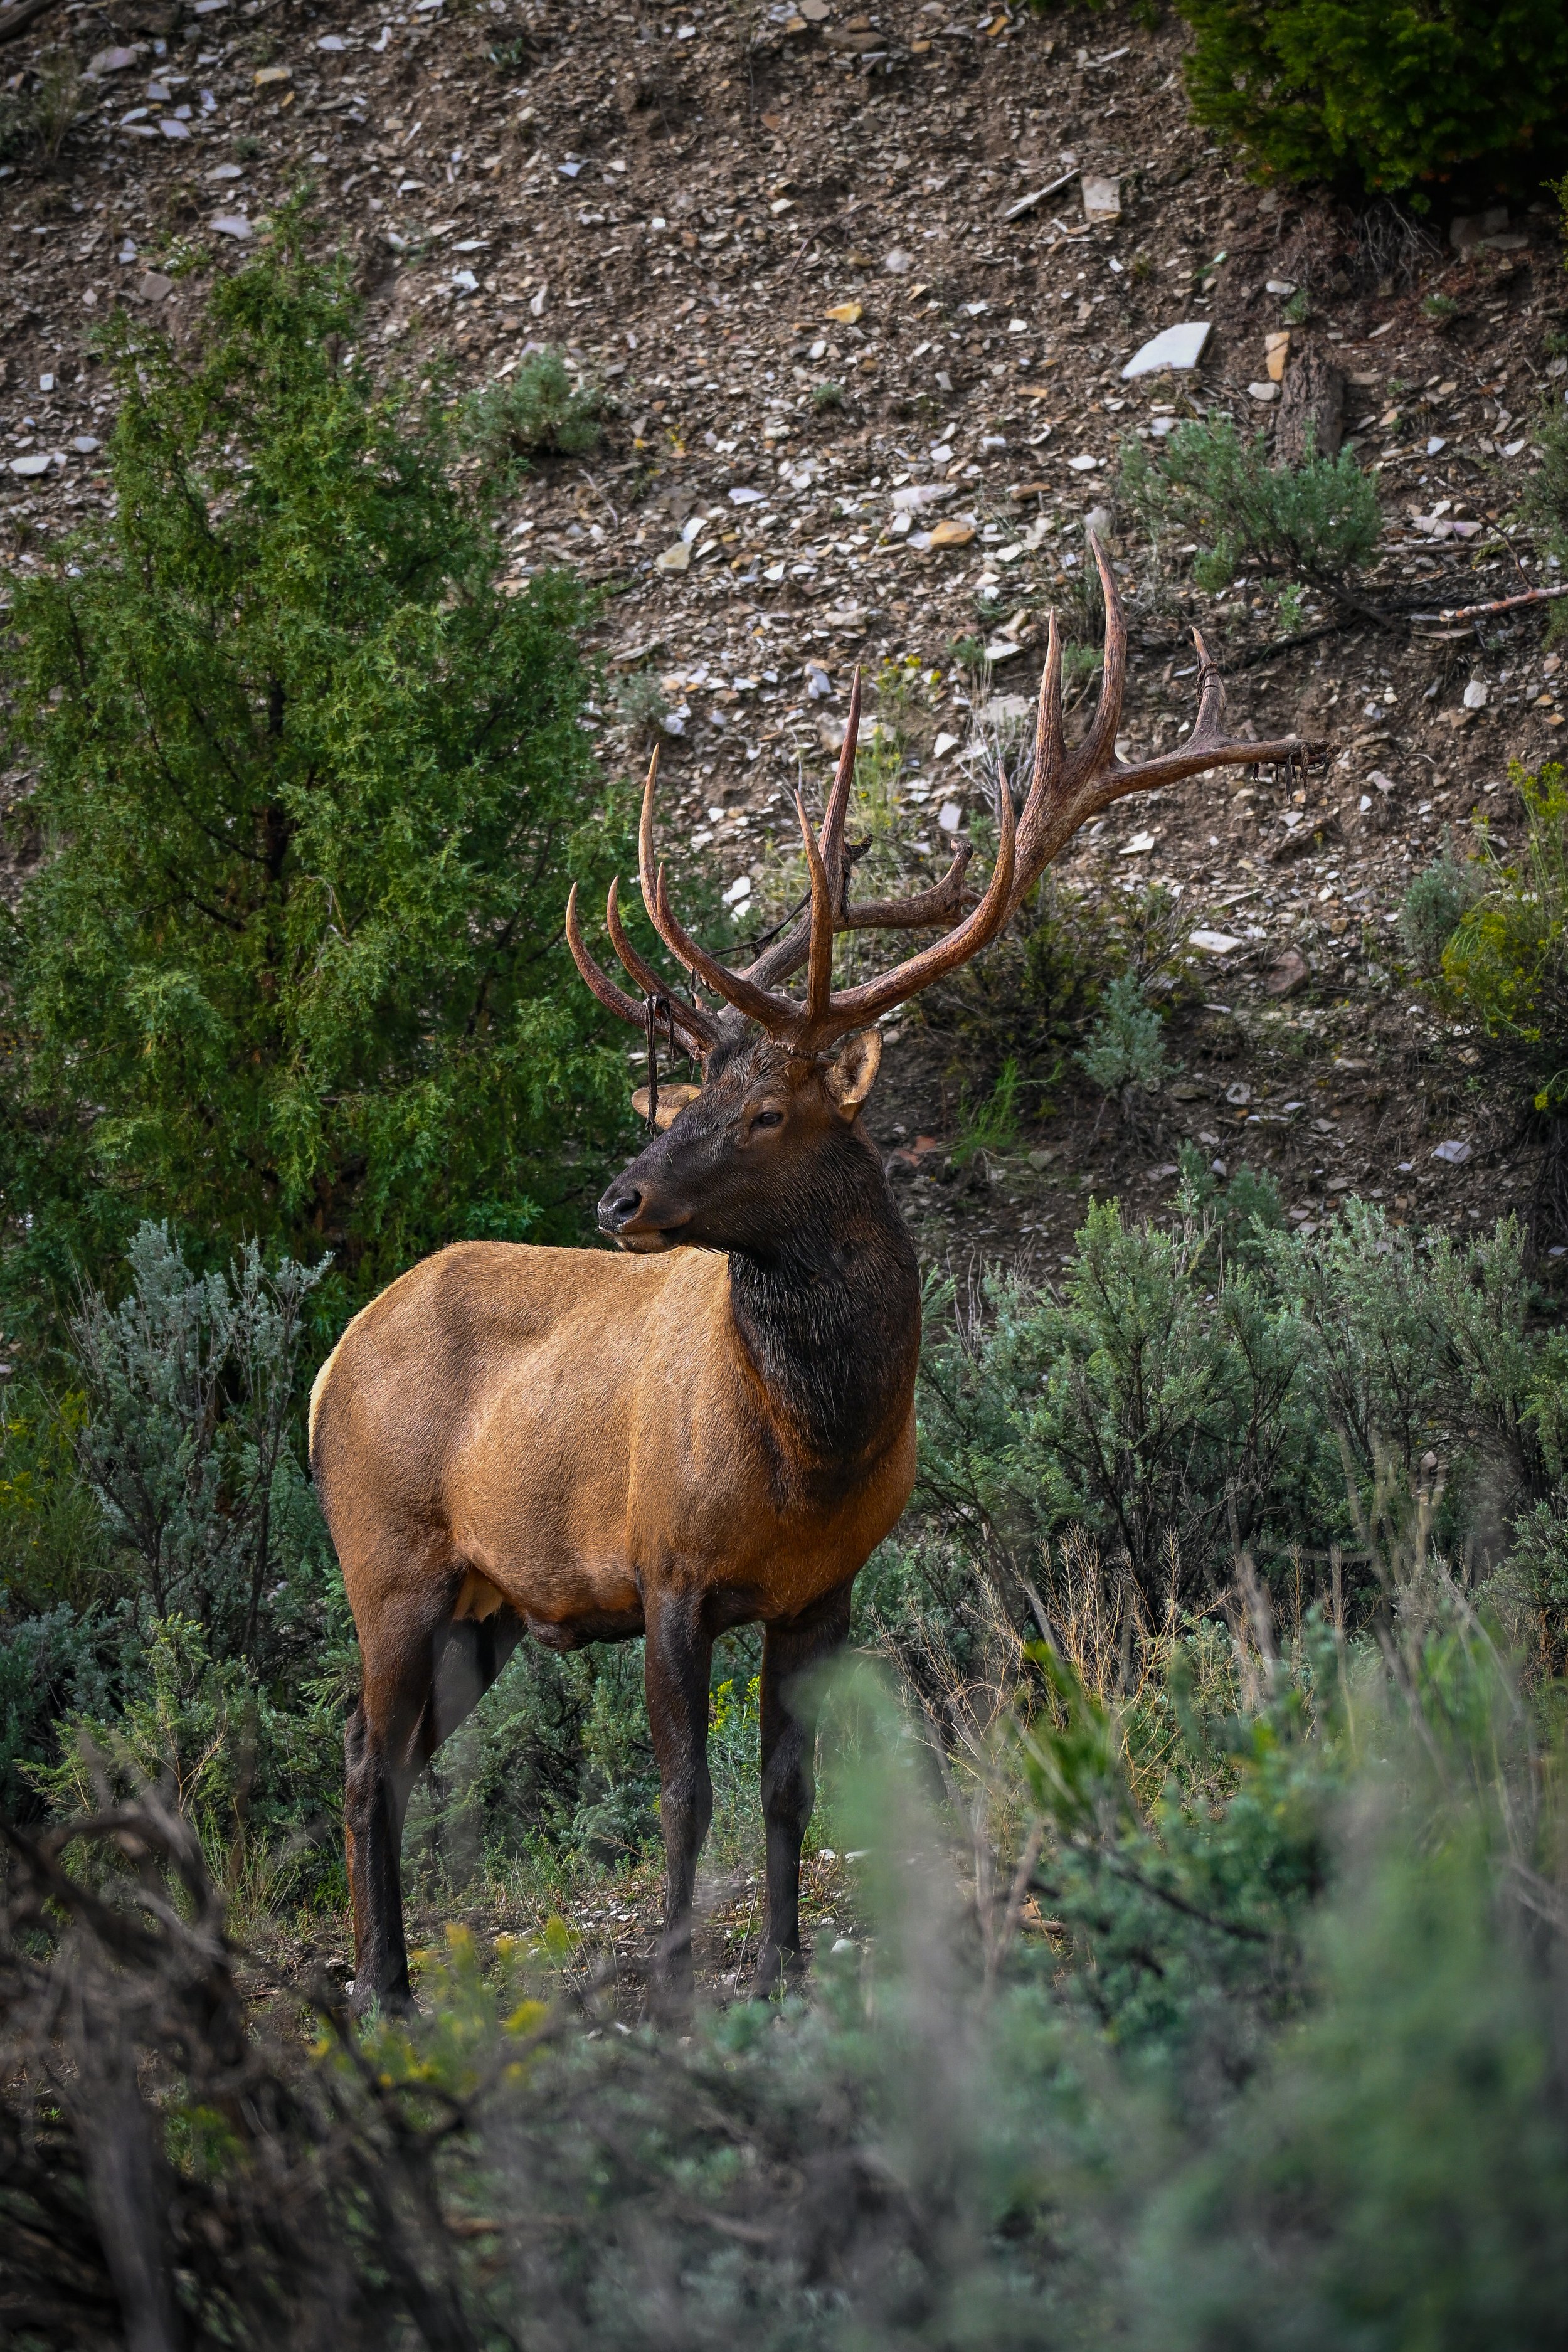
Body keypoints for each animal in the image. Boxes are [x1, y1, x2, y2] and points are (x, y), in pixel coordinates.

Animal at [308, 543, 1314, 2015]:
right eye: (690, 1096)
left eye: (766, 1110)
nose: (617, 1199)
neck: (809, 1452)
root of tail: (326, 1368)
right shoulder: (663, 1567)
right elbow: (685, 1793)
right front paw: (674, 1978)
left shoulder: (826, 1590)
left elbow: (789, 1790)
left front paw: (782, 1965)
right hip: (387, 1561)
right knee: (367, 1761)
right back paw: (382, 1988)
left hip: (480, 1607)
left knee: (375, 1755)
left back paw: (388, 1980)